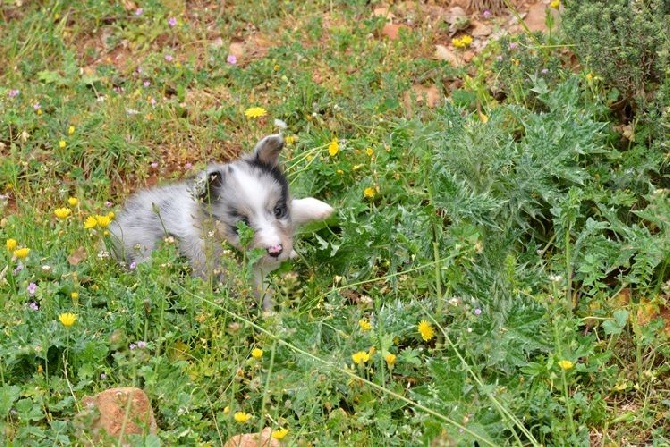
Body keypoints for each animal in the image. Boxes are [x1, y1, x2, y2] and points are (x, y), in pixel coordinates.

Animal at [109, 135, 336, 310]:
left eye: (278, 211)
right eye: (243, 224)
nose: (276, 250)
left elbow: (296, 209)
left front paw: (323, 210)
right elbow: (266, 295)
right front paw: (278, 325)